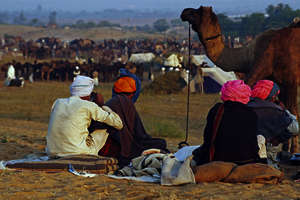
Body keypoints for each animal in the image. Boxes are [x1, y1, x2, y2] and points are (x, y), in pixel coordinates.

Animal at [180, 5, 300, 153]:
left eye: (198, 11)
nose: (184, 11)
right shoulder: (279, 81)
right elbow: (286, 110)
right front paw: (285, 149)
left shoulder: (290, 80)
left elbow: (293, 112)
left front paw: (294, 150)